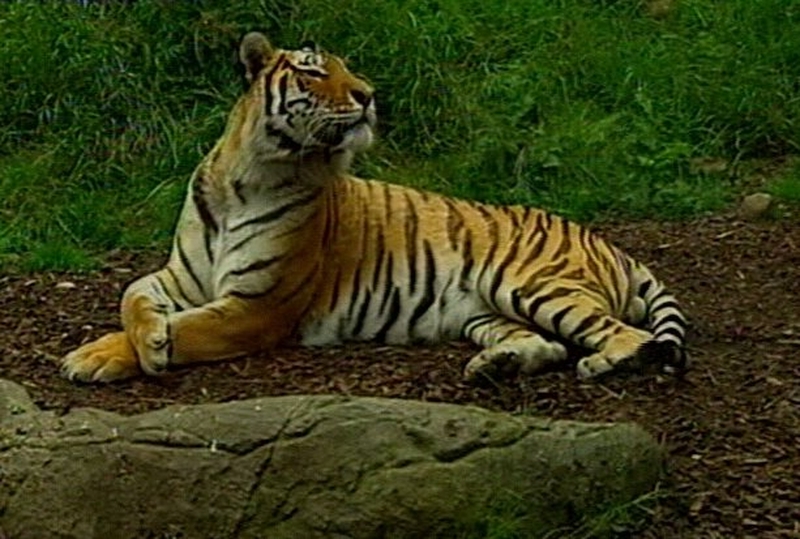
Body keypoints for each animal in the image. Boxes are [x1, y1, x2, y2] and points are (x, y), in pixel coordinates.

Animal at [61, 31, 688, 384]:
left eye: (347, 70)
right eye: (314, 69)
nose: (368, 95)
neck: (247, 177)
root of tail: (612, 245)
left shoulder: (258, 306)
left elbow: (188, 329)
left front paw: (120, 352)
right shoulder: (179, 276)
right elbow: (132, 296)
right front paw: (122, 344)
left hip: (534, 285)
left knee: (626, 338)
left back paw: (603, 364)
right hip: (489, 311)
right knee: (547, 343)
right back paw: (496, 367)